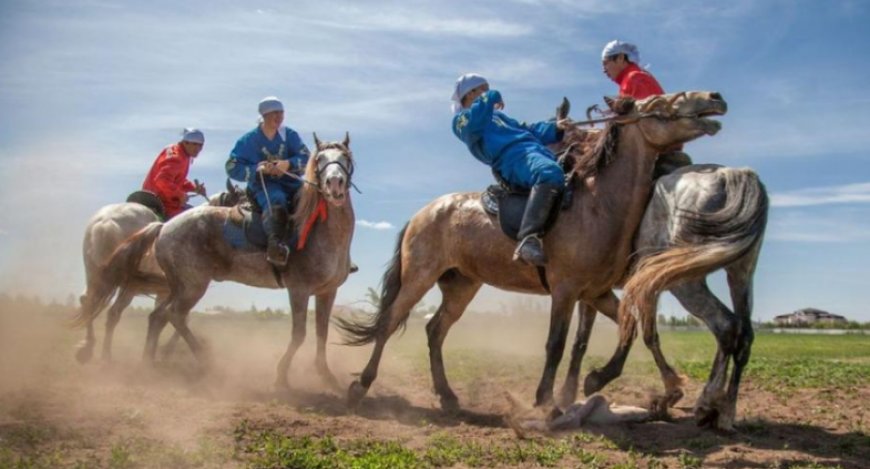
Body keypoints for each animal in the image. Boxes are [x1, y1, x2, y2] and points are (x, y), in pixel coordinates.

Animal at [338, 90, 728, 410]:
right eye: (660, 102)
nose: (715, 97)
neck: (597, 205)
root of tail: (424, 213)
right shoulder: (566, 290)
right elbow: (556, 344)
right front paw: (546, 401)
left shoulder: (597, 293)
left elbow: (636, 330)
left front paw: (660, 386)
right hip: (419, 276)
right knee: (389, 322)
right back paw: (361, 386)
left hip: (461, 285)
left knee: (435, 330)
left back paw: (447, 395)